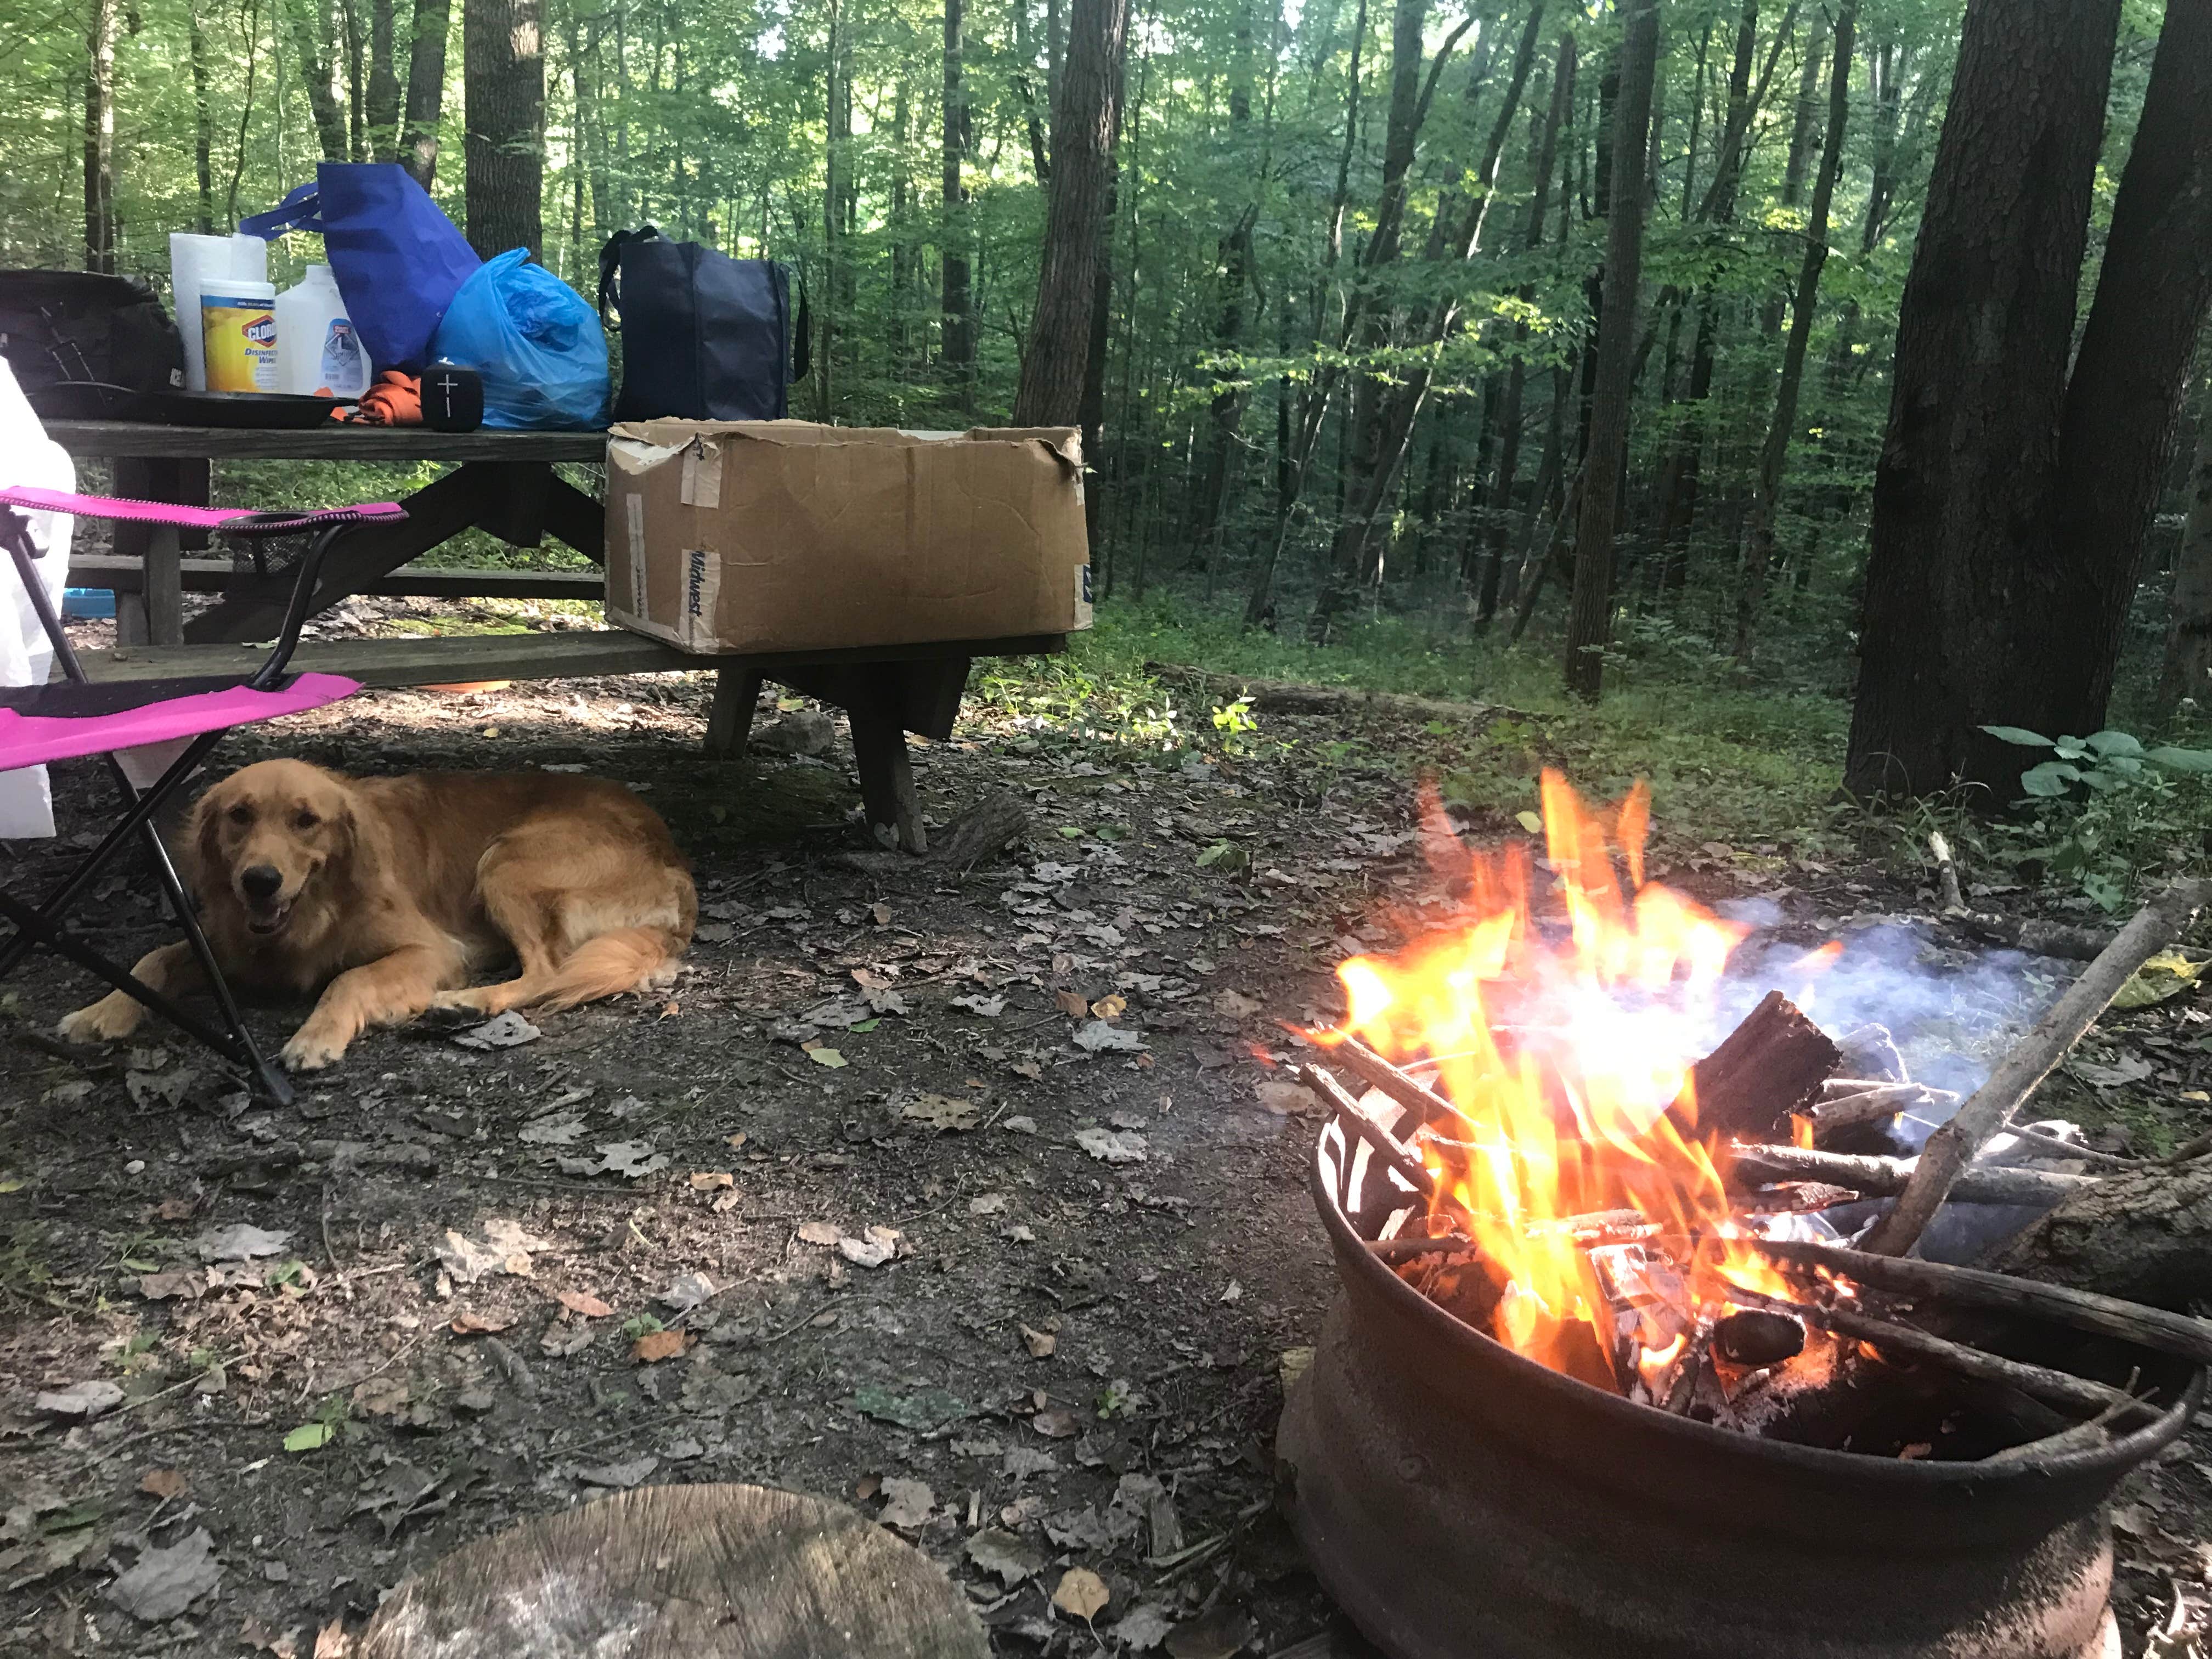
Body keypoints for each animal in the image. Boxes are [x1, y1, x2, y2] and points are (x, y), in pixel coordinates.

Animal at [58, 761, 690, 1070]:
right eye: (239, 816)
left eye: (306, 821)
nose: (259, 881)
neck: (316, 908)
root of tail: (674, 862)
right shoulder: (232, 945)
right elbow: (153, 958)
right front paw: (102, 1012)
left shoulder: (430, 949)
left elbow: (348, 978)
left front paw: (316, 1037)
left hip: (506, 862)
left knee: (547, 970)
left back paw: (466, 1004)